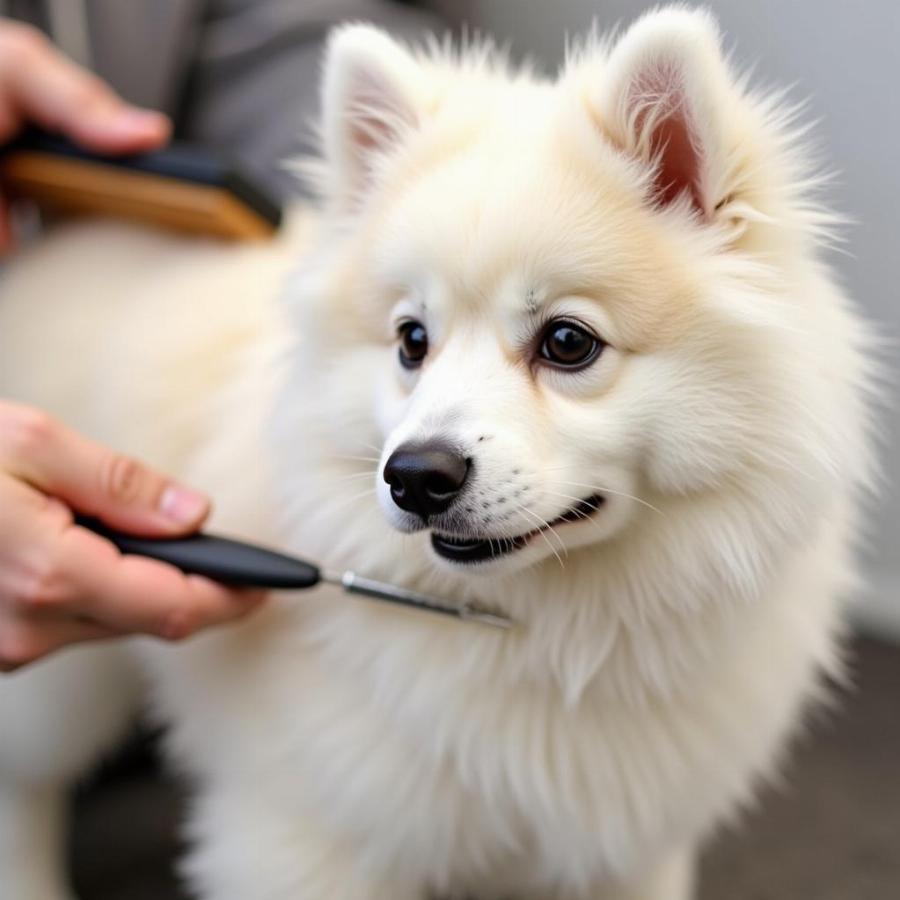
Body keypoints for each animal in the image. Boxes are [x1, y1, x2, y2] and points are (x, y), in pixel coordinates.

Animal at [0, 8, 876, 900]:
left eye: (568, 342)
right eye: (411, 341)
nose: (416, 475)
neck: (559, 633)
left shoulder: (628, 847)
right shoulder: (305, 836)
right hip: (60, 685)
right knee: (24, 783)